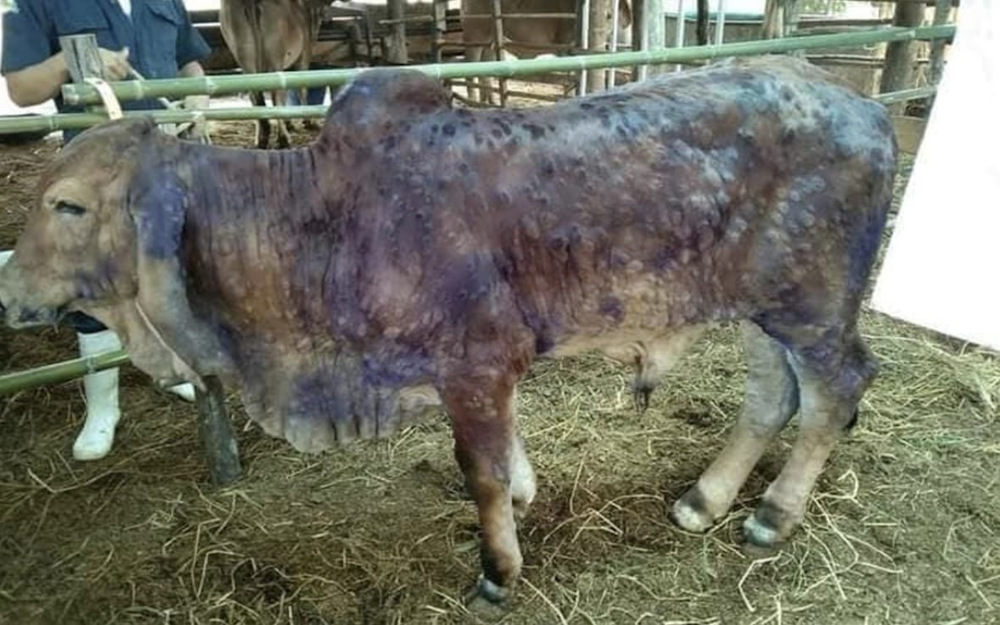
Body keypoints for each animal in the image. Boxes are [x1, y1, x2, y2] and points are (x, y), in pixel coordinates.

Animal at [0, 56, 898, 608]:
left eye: (69, 204)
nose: (8, 285)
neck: (317, 218)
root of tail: (864, 106)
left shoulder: (476, 364)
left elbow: (482, 473)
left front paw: (499, 570)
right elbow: (506, 459)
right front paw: (530, 494)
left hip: (813, 306)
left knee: (838, 389)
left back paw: (771, 513)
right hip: (762, 310)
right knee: (772, 397)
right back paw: (704, 499)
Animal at [219, 0, 325, 148]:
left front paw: (289, 123)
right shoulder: (304, 54)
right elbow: (301, 88)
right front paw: (308, 121)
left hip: (242, 53)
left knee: (255, 96)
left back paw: (261, 138)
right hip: (275, 54)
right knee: (276, 95)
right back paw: (283, 139)